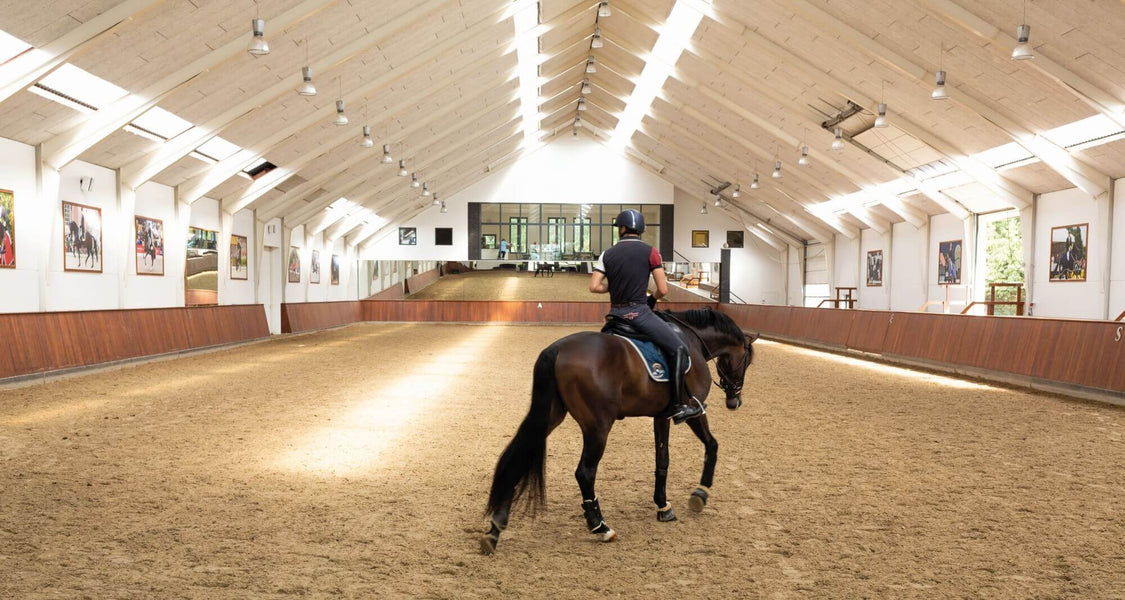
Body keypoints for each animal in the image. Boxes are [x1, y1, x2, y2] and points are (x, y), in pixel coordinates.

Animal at [479, 306, 760, 553]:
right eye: (747, 360)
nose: (734, 401)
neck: (691, 339)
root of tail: (557, 349)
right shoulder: (694, 410)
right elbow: (712, 445)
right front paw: (700, 494)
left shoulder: (662, 416)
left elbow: (662, 461)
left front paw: (663, 506)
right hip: (598, 426)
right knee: (585, 473)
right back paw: (600, 527)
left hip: (550, 416)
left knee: (520, 457)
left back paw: (495, 529)